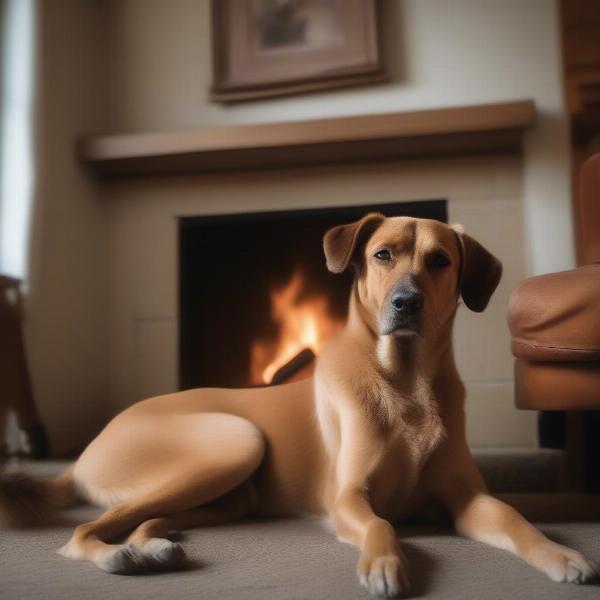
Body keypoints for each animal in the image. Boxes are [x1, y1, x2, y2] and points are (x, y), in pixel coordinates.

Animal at [0, 214, 596, 596]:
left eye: (440, 260)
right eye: (382, 255)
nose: (405, 303)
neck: (406, 383)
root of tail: (83, 453)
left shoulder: (469, 498)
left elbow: (516, 519)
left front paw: (561, 554)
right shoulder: (348, 497)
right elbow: (381, 526)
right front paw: (385, 563)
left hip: (230, 495)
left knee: (147, 519)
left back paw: (156, 546)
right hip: (235, 441)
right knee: (83, 532)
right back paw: (116, 555)